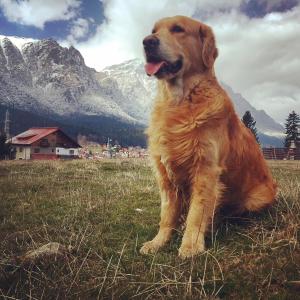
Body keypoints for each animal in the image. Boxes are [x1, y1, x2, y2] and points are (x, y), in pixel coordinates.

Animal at [140, 15, 276, 258]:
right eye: (153, 30)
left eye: (178, 29)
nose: (147, 42)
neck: (180, 100)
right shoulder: (165, 173)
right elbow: (167, 214)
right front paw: (158, 242)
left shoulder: (205, 169)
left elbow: (197, 212)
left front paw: (190, 246)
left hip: (257, 198)